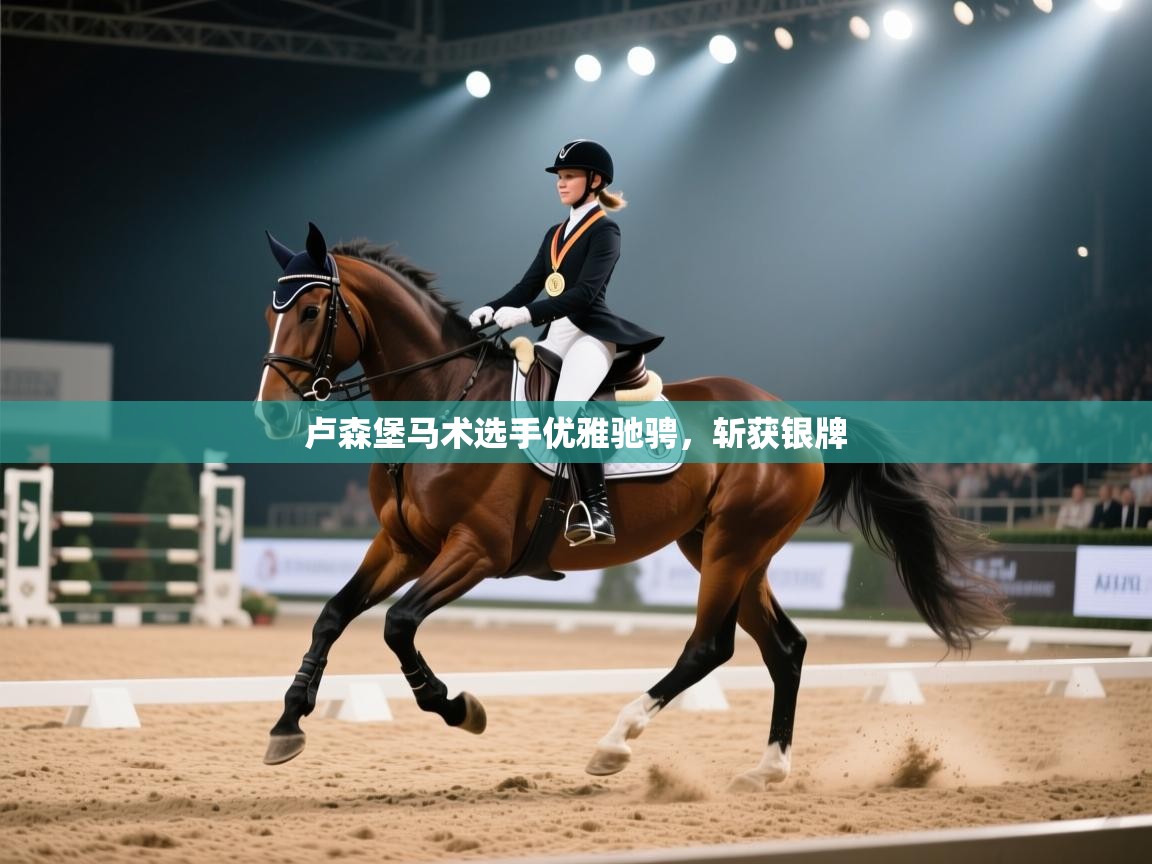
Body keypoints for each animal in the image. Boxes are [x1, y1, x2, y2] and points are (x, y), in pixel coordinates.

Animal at [254, 223, 1004, 789]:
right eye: (271, 311)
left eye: (313, 312)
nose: (272, 415)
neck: (445, 396)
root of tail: (790, 413)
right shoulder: (401, 544)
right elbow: (332, 615)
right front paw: (287, 724)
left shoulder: (476, 551)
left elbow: (398, 624)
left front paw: (459, 708)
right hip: (726, 549)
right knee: (784, 647)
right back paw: (766, 770)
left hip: (733, 547)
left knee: (709, 646)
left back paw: (614, 744)